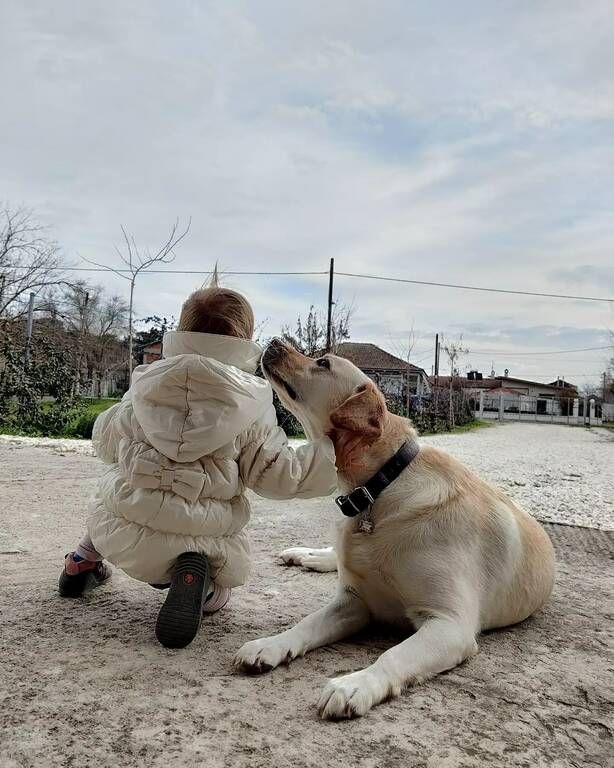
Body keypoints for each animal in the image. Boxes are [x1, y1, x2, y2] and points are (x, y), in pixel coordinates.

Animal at [236, 340, 560, 716]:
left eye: (323, 363)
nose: (274, 341)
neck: (380, 488)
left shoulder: (449, 624)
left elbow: (392, 656)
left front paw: (354, 684)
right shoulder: (354, 602)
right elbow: (307, 623)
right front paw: (270, 645)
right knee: (334, 557)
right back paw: (307, 555)